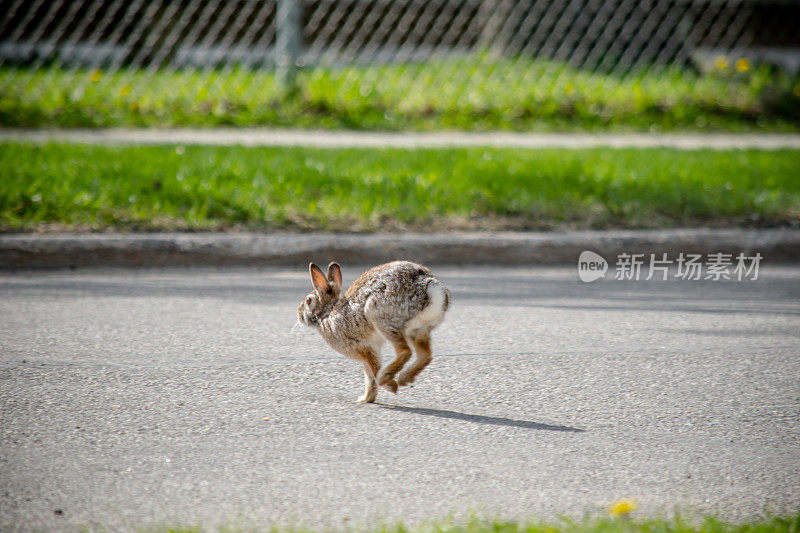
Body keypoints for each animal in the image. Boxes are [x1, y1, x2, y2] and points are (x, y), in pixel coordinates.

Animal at [298, 260, 450, 402]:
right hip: (418, 330)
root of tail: (429, 289)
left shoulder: (362, 347)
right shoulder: (367, 352)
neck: (328, 312)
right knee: (425, 355)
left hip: (380, 317)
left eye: (308, 301)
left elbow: (373, 369)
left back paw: (385, 378)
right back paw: (404, 378)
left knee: (405, 352)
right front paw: (366, 399)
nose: (299, 315)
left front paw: (390, 386)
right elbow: (369, 377)